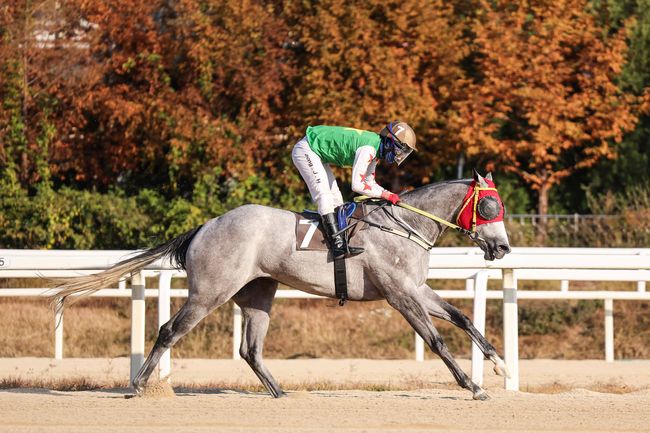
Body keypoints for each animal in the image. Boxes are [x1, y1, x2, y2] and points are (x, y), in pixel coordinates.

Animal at [53, 170, 508, 400]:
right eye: (490, 205)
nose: (502, 247)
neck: (406, 225)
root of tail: (205, 226)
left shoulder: (416, 288)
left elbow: (462, 318)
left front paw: (499, 364)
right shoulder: (400, 294)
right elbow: (437, 340)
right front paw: (472, 386)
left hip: (258, 294)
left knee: (250, 349)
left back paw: (280, 391)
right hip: (210, 292)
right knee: (169, 330)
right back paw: (138, 385)